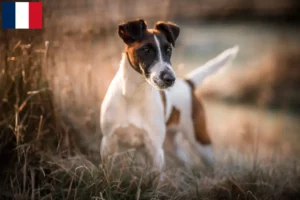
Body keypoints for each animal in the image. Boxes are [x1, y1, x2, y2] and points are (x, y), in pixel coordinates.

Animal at [101, 18, 239, 171]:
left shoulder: (155, 149)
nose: (170, 78)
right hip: (172, 145)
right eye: (146, 50)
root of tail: (187, 83)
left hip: (200, 141)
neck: (134, 95)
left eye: (168, 50)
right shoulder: (108, 142)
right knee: (185, 159)